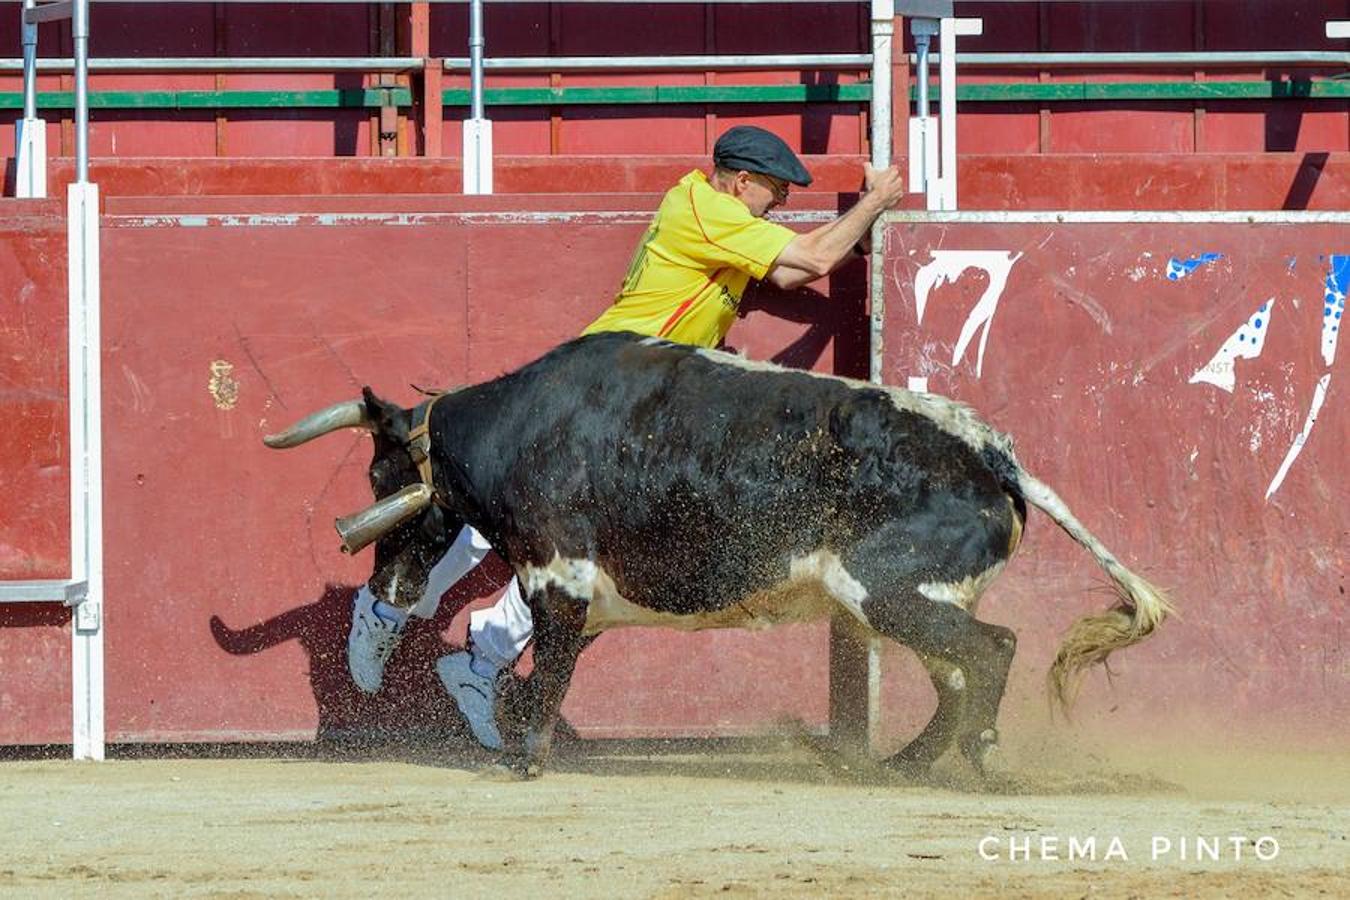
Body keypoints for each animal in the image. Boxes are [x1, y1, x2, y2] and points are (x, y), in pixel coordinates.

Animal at [263, 330, 1171, 782]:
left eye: (381, 475)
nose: (388, 582)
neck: (523, 425)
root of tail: (993, 454)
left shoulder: (559, 575)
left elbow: (550, 669)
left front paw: (525, 759)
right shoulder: (581, 594)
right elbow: (546, 668)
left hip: (892, 592)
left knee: (992, 651)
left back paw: (979, 758)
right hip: (911, 601)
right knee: (955, 674)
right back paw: (899, 767)